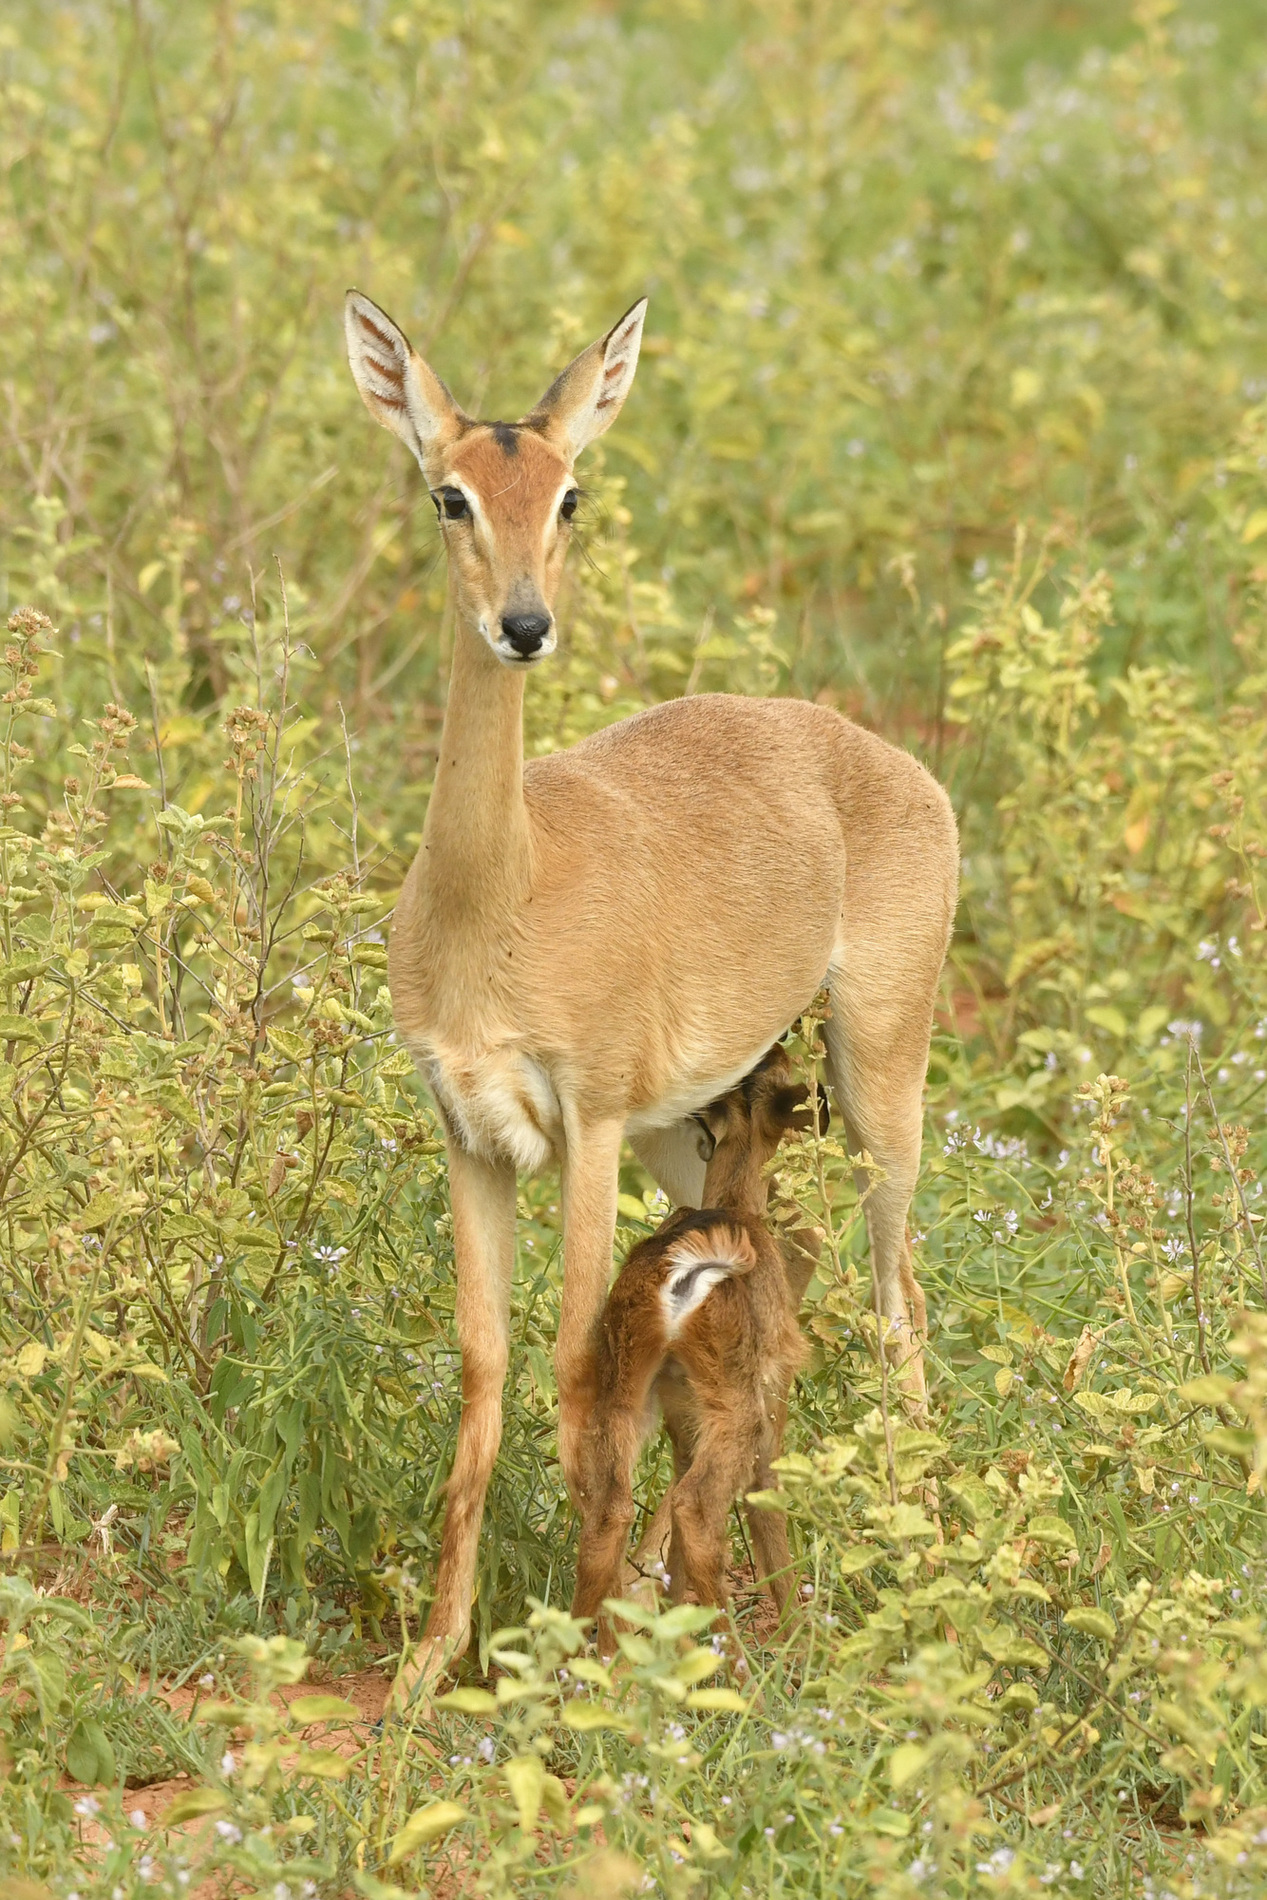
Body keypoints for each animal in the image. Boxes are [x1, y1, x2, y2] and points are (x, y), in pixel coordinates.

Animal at [341, 288, 957, 1687]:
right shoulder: (470, 1136)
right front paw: (430, 1664)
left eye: (571, 493)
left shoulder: (587, 1123)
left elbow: (577, 1368)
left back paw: (906, 1575)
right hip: (697, 1136)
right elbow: (484, 1373)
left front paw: (579, 1636)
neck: (500, 902)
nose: (523, 625)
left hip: (876, 1075)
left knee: (899, 1306)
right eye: (450, 492)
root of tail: (889, 761)